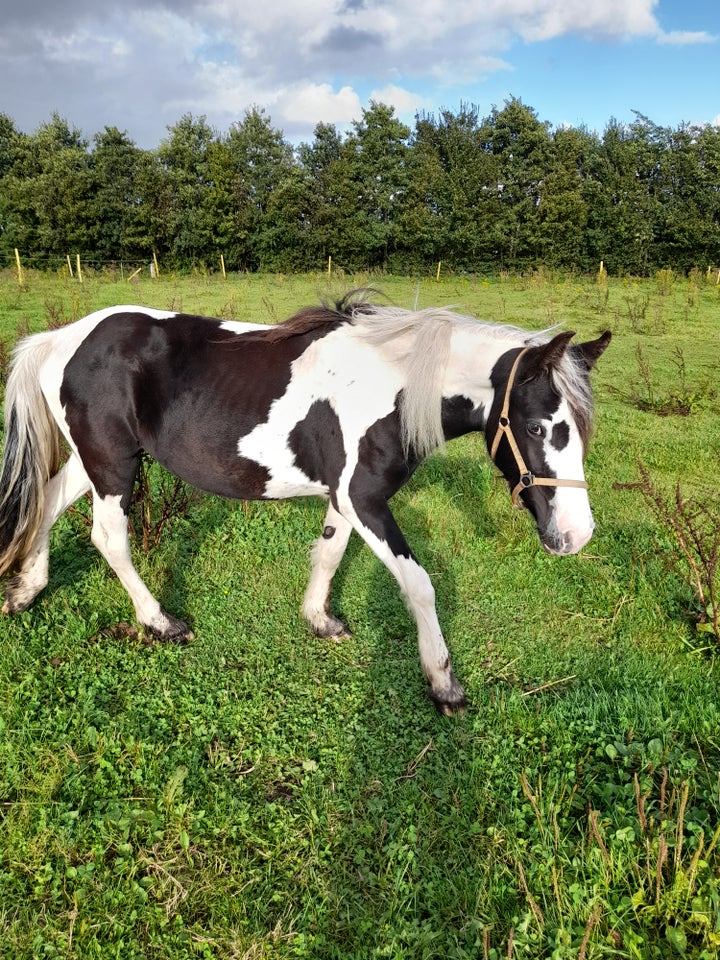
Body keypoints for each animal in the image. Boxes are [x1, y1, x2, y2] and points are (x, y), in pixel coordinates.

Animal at [0, 294, 608, 712]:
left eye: (581, 430)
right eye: (538, 426)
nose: (575, 536)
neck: (394, 385)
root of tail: (61, 339)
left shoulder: (345, 498)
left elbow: (330, 552)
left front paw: (319, 619)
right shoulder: (363, 499)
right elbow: (419, 584)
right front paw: (443, 682)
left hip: (94, 460)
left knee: (47, 504)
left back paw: (26, 590)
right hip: (112, 465)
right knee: (108, 538)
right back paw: (159, 622)